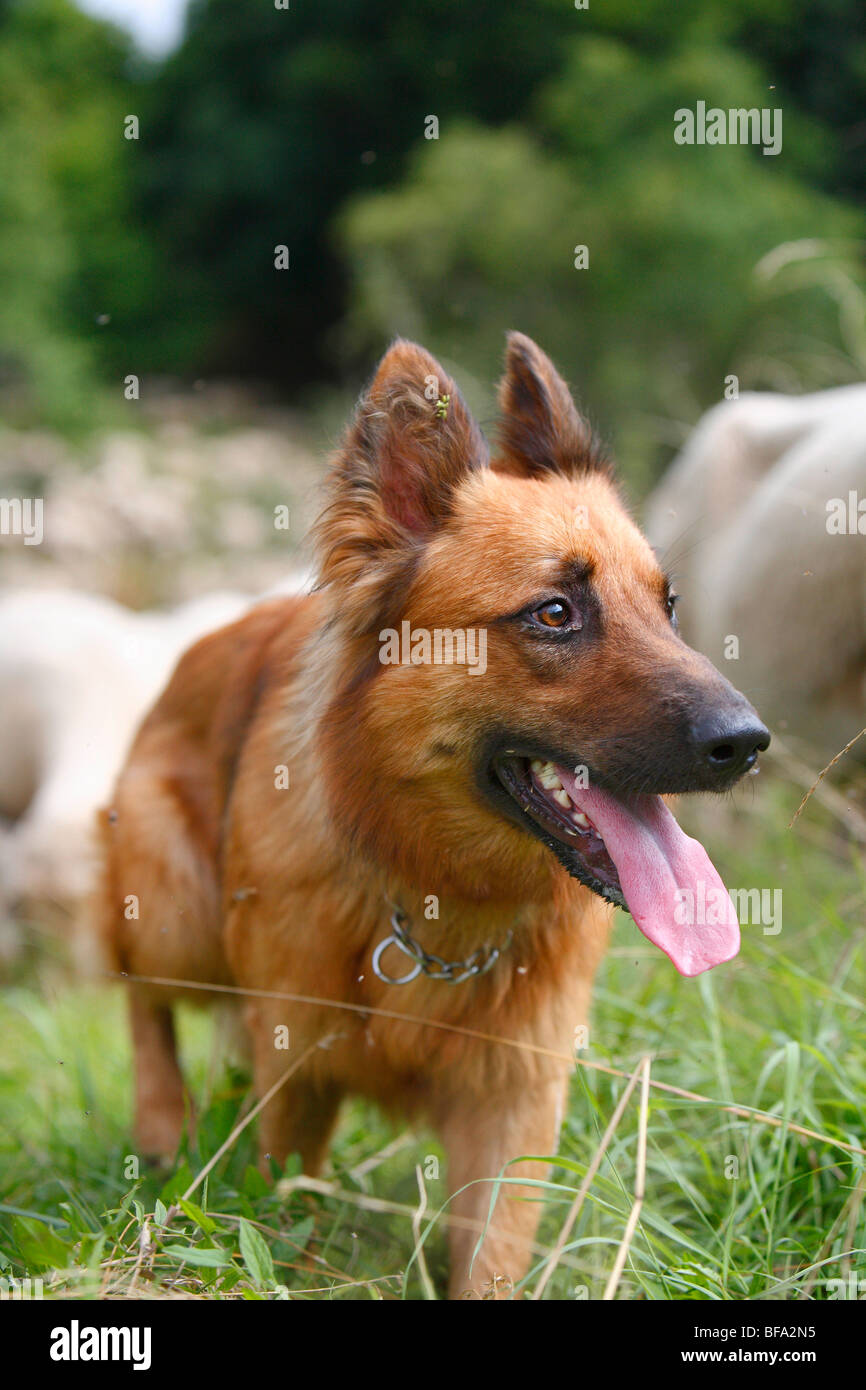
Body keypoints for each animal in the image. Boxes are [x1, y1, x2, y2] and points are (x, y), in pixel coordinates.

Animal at [97, 336, 767, 1301]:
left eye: (667, 605)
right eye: (555, 612)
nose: (747, 742)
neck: (434, 890)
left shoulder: (514, 1107)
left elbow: (490, 1257)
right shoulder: (296, 1078)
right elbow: (290, 1216)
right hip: (173, 913)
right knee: (139, 992)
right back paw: (160, 1122)